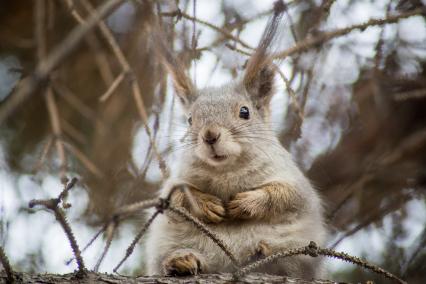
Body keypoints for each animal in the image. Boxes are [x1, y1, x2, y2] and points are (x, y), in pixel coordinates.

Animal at [145, 0, 328, 280]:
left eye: (245, 112)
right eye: (189, 119)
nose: (210, 135)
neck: (226, 171)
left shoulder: (296, 183)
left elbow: (286, 195)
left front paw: (246, 203)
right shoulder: (173, 184)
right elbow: (175, 199)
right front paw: (204, 204)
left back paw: (265, 254)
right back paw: (181, 261)